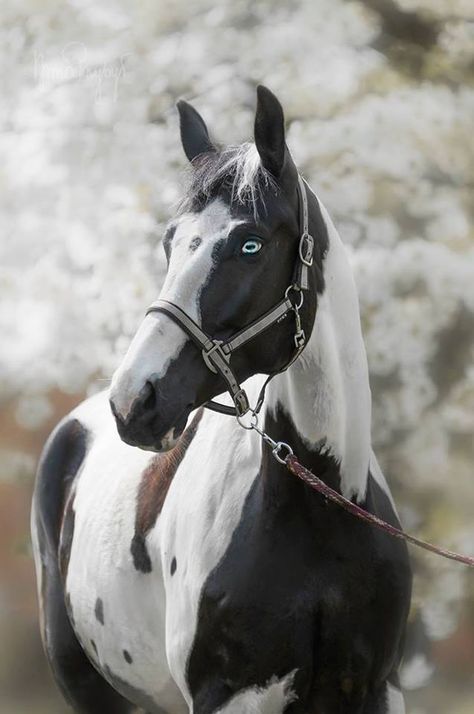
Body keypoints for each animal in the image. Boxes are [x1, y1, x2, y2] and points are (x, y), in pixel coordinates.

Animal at [31, 85, 412, 712]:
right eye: (169, 243)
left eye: (249, 244)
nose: (134, 400)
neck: (321, 508)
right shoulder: (231, 696)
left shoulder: (376, 690)